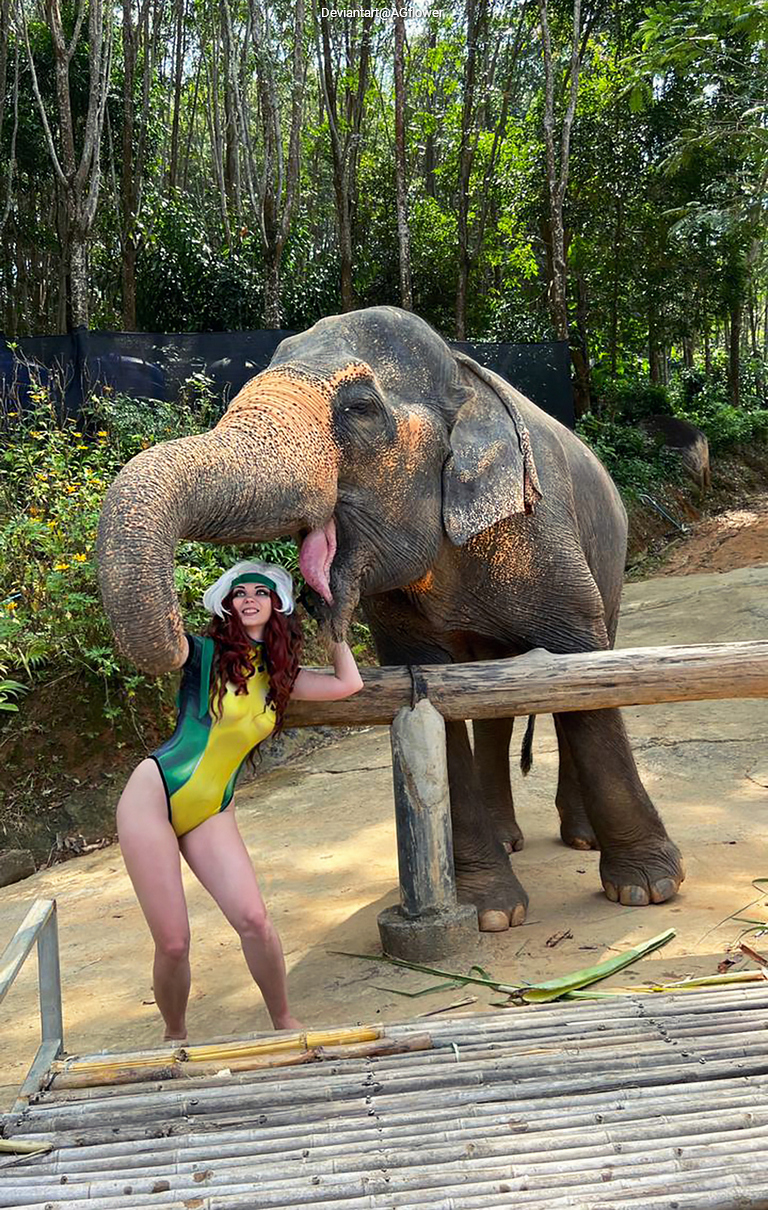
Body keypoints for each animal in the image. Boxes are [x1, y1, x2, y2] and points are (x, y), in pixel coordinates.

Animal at [97, 305, 684, 931]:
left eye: (359, 409)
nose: (185, 638)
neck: (461, 375)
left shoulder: (541, 536)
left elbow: (584, 676)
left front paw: (647, 889)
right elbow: (431, 694)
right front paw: (489, 912)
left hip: (611, 557)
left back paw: (580, 838)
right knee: (496, 702)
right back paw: (508, 839)